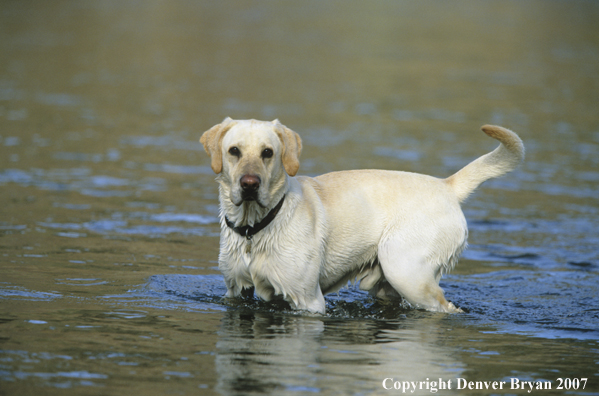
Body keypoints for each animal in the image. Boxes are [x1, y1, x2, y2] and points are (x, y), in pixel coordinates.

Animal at [202, 116, 524, 314]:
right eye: (234, 151)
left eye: (268, 153)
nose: (249, 184)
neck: (254, 229)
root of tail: (447, 186)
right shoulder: (236, 291)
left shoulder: (308, 300)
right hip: (387, 285)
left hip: (408, 273)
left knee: (447, 309)